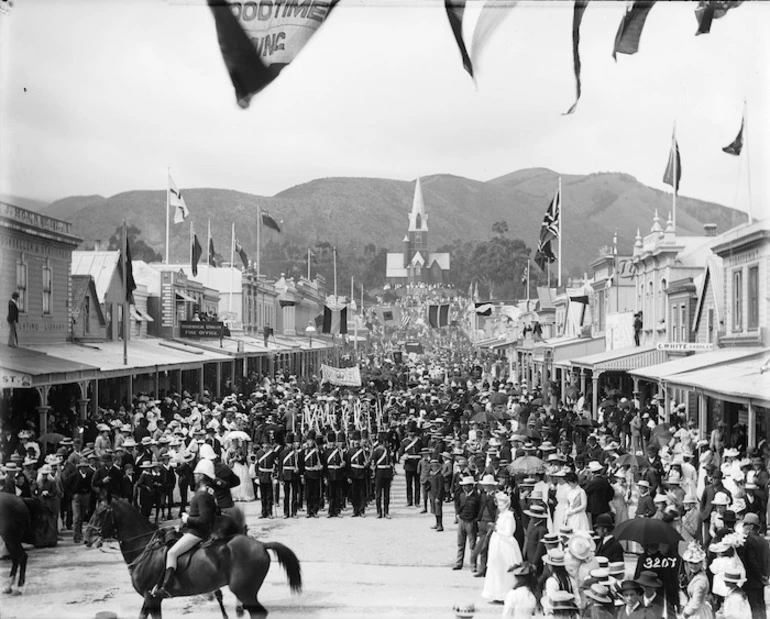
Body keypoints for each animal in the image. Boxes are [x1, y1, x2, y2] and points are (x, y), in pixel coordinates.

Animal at [84, 498, 300, 619]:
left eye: (100, 513)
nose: (87, 539)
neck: (145, 547)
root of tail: (261, 544)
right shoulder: (150, 599)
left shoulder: (152, 598)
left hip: (245, 592)